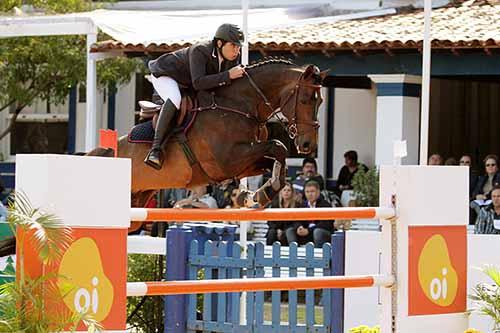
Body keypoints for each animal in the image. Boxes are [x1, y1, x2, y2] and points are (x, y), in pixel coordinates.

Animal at [88, 58, 326, 232]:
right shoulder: (227, 161)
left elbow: (275, 159)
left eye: (320, 101)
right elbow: (277, 146)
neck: (239, 105)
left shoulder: (242, 163)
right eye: (305, 99)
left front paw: (256, 195)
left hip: (137, 201)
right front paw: (258, 193)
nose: (308, 144)